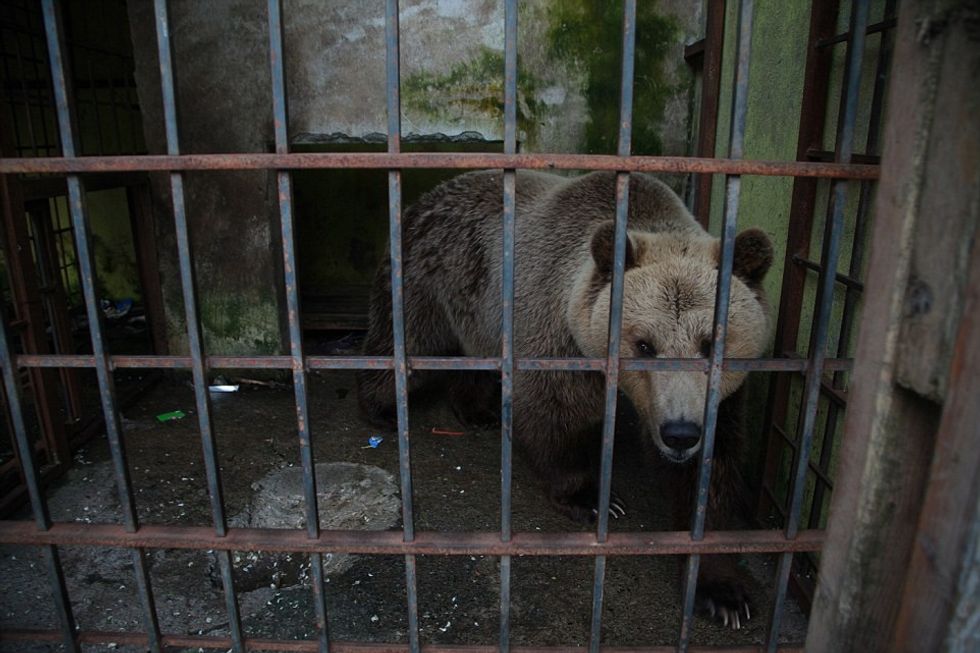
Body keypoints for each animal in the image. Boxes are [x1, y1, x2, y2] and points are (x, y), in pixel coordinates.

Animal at [356, 170, 773, 628]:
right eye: (644, 344)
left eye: (710, 342)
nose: (679, 433)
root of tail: (432, 191)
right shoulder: (557, 335)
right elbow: (554, 414)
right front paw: (592, 499)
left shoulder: (718, 399)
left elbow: (710, 472)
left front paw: (722, 592)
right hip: (429, 273)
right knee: (406, 337)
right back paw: (383, 407)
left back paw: (477, 410)